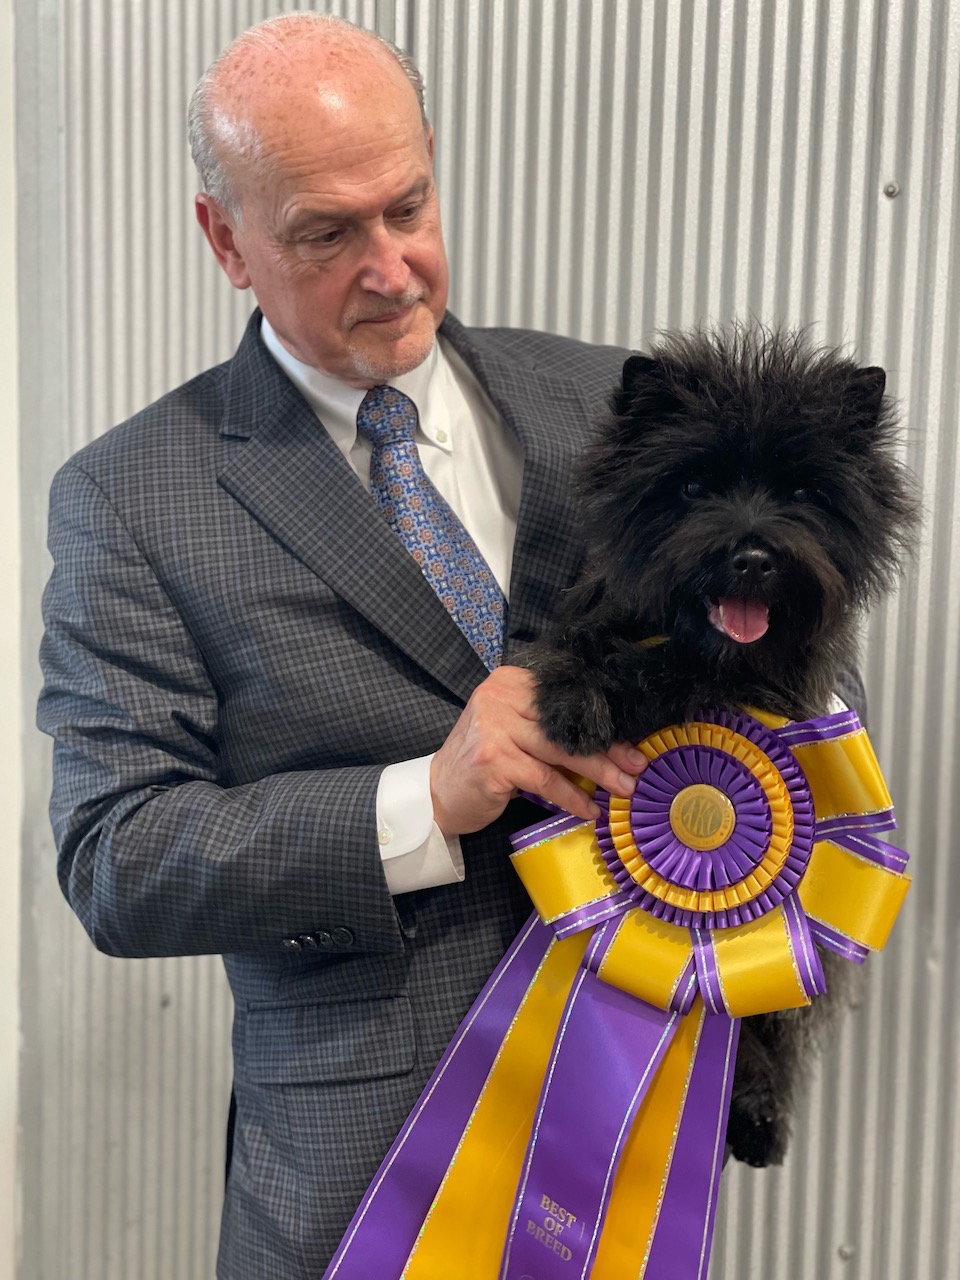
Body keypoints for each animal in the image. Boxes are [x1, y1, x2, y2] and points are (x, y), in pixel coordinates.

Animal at [529, 324, 918, 1166]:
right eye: (693, 488)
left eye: (803, 494)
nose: (754, 555)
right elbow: (577, 643)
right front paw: (572, 700)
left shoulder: (775, 689)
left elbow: (676, 671)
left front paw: (624, 684)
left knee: (773, 1030)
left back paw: (758, 1117)